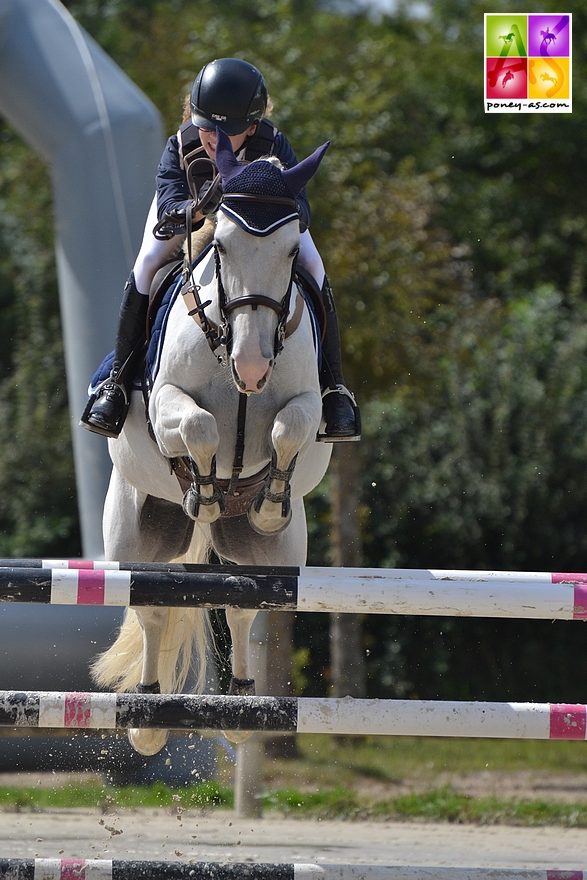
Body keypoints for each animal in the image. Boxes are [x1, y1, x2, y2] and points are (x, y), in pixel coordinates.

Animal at [90, 131, 334, 756]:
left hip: (270, 556)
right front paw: (203, 491)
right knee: (151, 606)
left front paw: (268, 498)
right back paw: (148, 718)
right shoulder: (166, 402)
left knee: (246, 604)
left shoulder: (307, 404)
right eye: (220, 245)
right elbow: (200, 427)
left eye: (291, 251)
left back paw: (241, 706)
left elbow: (289, 427)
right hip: (135, 534)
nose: (251, 366)